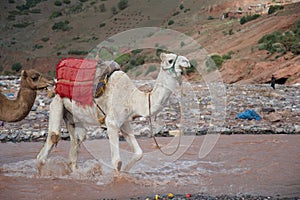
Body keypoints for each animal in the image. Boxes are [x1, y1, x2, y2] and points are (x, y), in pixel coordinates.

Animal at [37, 53, 190, 172]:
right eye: (170, 60)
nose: (187, 62)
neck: (132, 98)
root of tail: (56, 83)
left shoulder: (125, 121)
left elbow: (139, 153)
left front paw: (127, 172)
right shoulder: (111, 122)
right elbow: (117, 161)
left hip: (73, 114)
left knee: (77, 140)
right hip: (57, 102)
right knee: (51, 140)